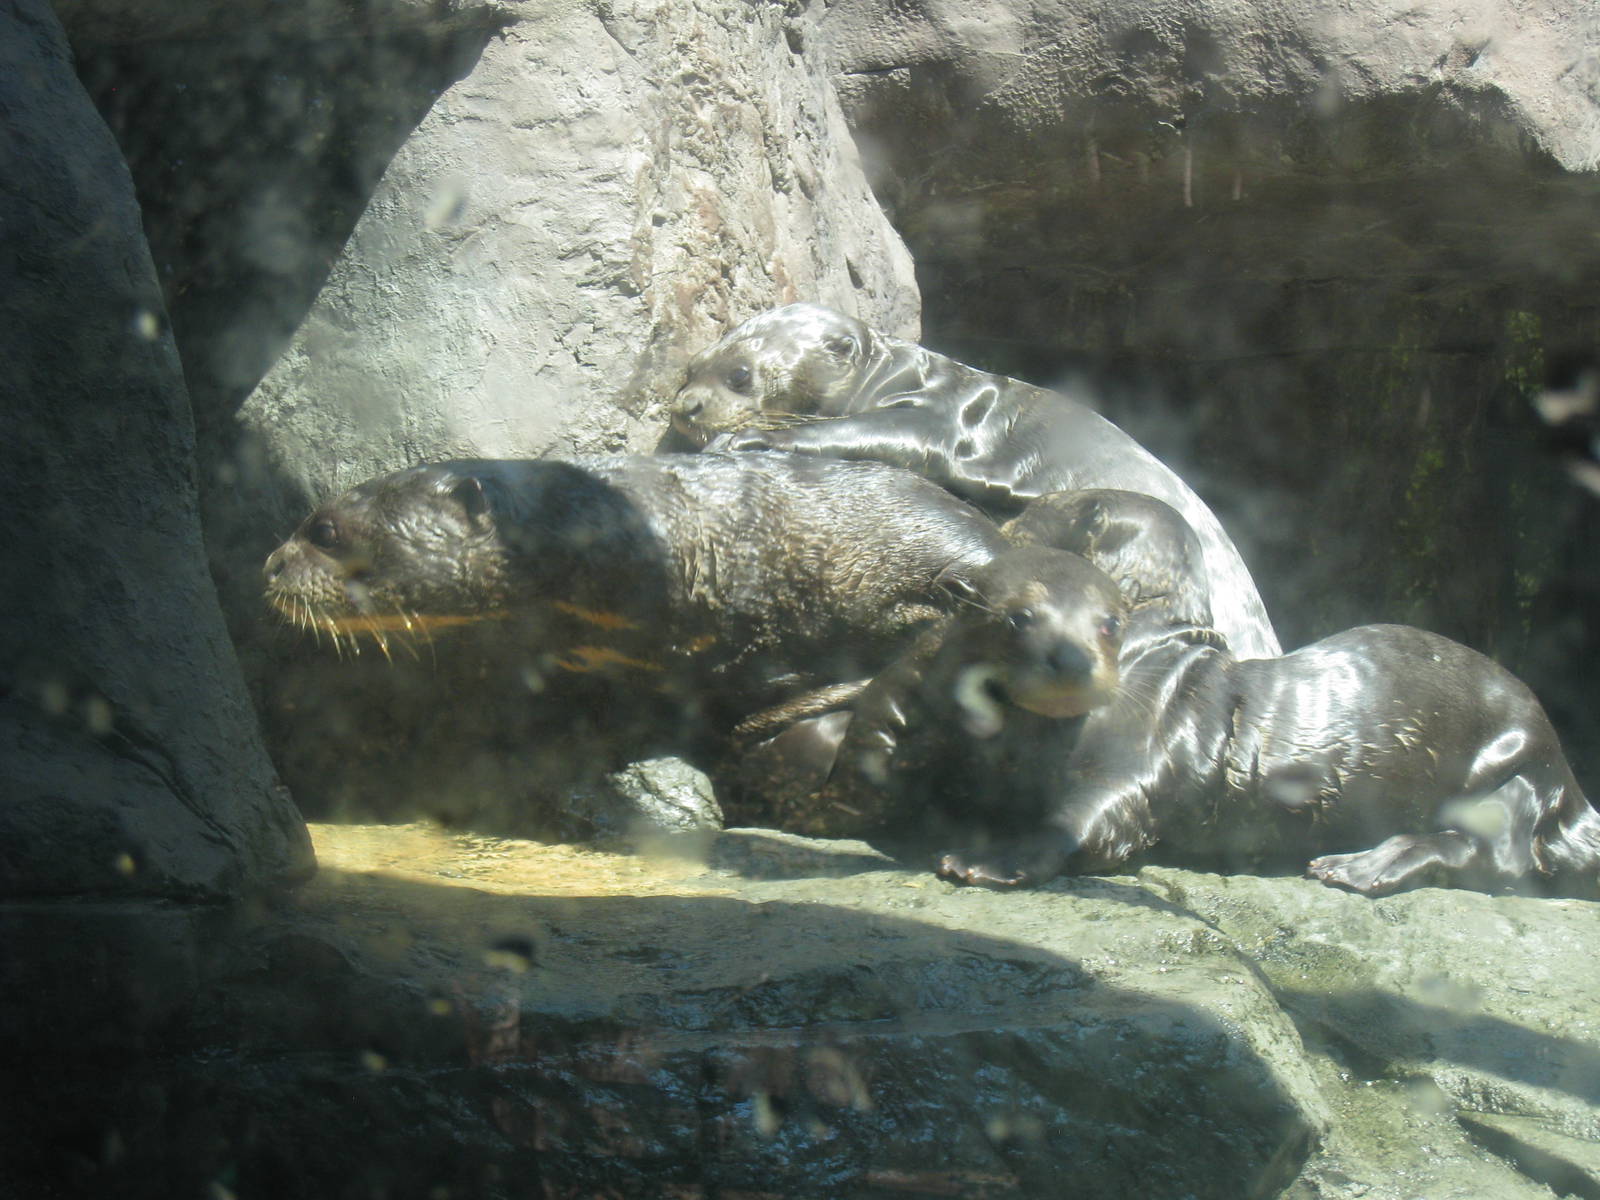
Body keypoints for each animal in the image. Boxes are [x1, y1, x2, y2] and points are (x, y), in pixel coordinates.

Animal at [669, 303, 1280, 660]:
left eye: (740, 374)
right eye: (689, 370)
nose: (686, 407)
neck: (892, 377)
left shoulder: (939, 417)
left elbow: (875, 433)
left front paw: (750, 439)